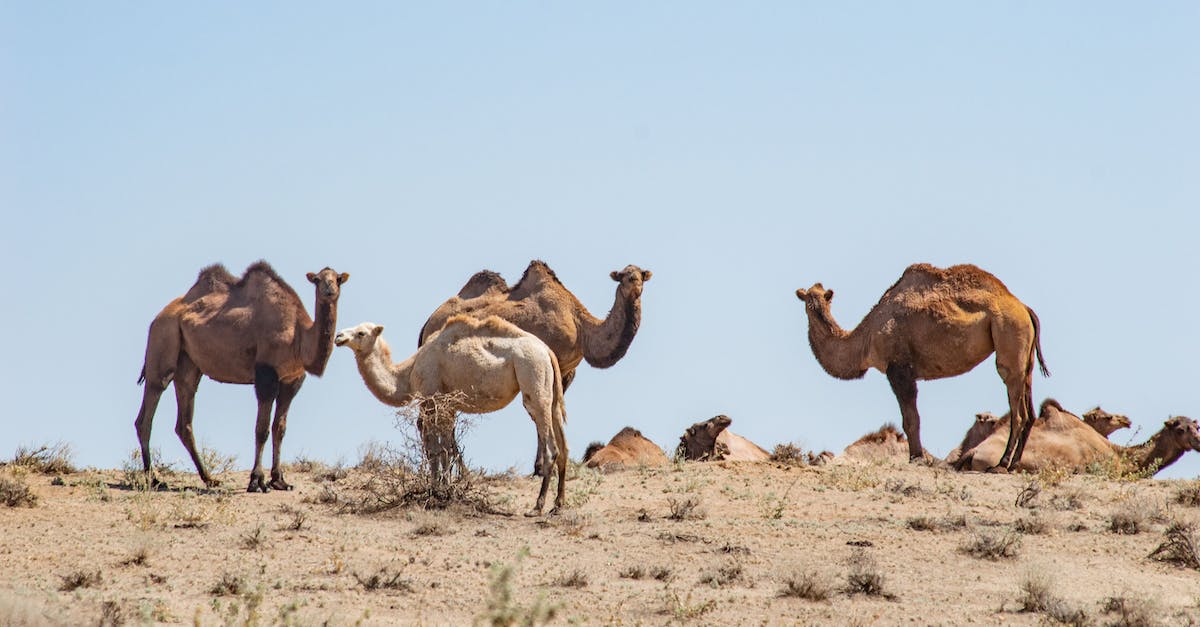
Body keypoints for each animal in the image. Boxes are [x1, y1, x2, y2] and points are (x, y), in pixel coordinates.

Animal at [134, 262, 348, 492]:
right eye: (317, 280)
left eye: (337, 279)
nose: (329, 290)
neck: (298, 334)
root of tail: (157, 318)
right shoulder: (266, 373)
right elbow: (262, 429)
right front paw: (257, 481)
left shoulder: (292, 380)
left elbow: (279, 428)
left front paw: (279, 480)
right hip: (163, 338)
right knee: (150, 404)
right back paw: (154, 479)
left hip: (188, 363)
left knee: (184, 414)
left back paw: (209, 478)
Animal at [334, 316, 567, 516]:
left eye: (361, 333)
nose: (339, 336)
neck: (407, 373)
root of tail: (546, 350)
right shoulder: (449, 406)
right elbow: (446, 448)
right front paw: (445, 488)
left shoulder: (432, 400)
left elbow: (435, 449)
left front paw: (437, 490)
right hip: (550, 390)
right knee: (563, 444)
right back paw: (557, 505)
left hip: (532, 376)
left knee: (551, 447)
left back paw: (537, 506)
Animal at [419, 260, 652, 392]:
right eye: (623, 276)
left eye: (641, 274)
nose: (634, 281)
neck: (581, 327)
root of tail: (427, 324)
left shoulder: (569, 371)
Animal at [794, 263, 1049, 470]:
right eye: (808, 300)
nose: (812, 305)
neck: (866, 339)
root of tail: (1024, 308)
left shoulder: (898, 369)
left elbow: (910, 420)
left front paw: (916, 458)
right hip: (1024, 357)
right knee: (1030, 409)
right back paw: (1014, 464)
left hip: (1009, 335)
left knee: (1018, 409)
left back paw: (1002, 464)